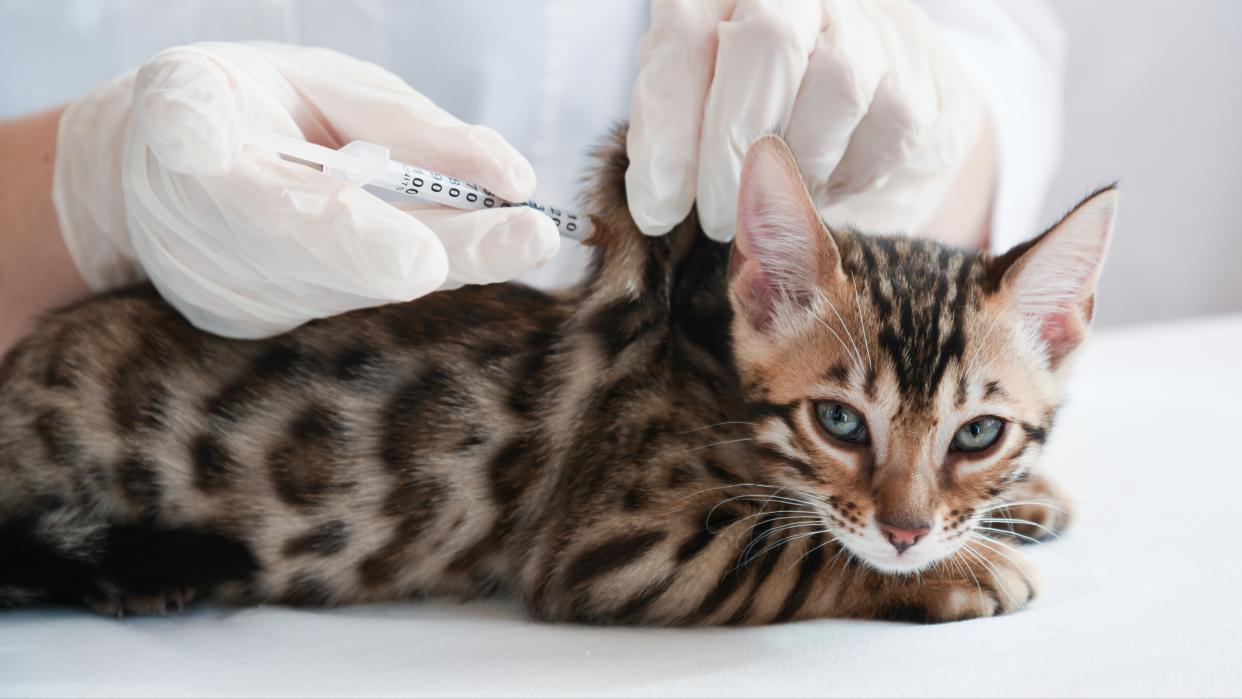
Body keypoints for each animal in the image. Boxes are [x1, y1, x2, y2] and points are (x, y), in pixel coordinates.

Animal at [0, 129, 1117, 623]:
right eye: (841, 422)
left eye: (978, 434)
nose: (907, 530)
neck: (711, 376)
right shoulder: (614, 545)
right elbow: (795, 548)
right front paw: (961, 569)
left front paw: (1026, 503)